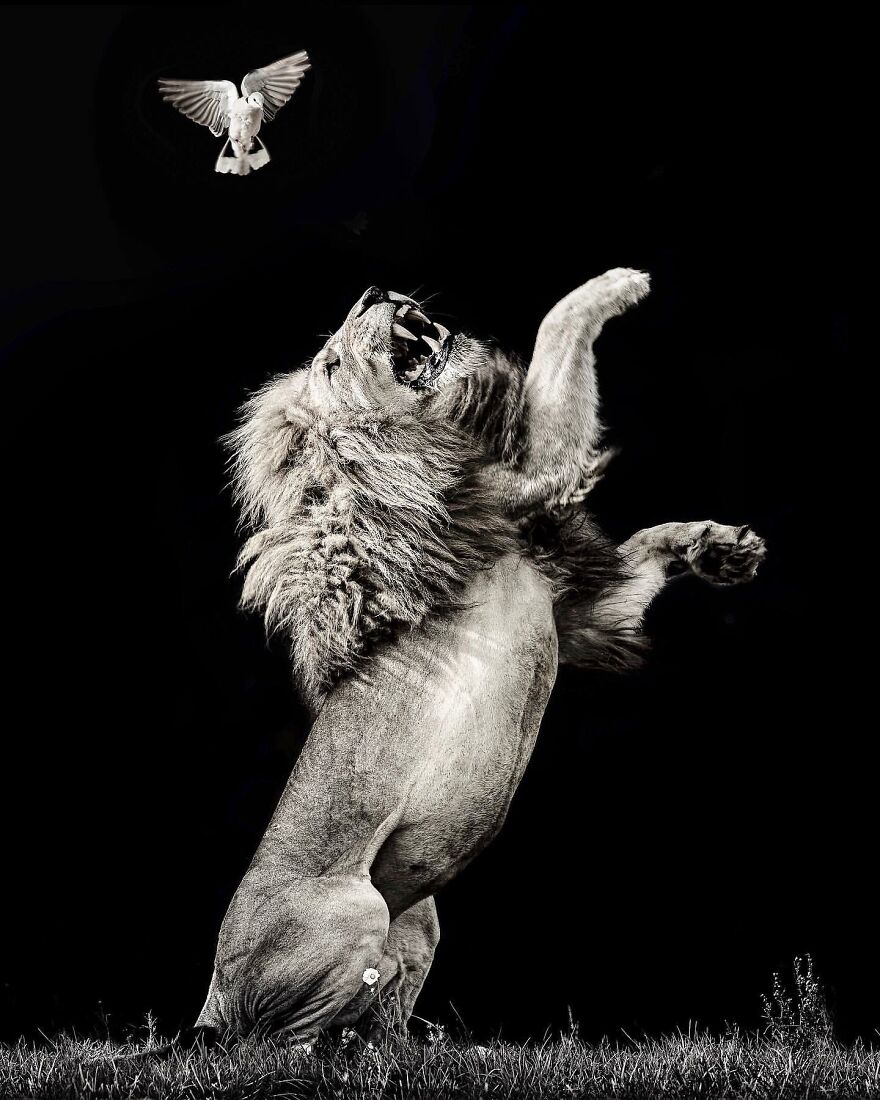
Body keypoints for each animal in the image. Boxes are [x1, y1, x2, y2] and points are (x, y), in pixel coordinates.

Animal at [194, 269, 765, 1042]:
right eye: (332, 366)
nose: (373, 292)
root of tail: (215, 991)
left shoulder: (585, 607)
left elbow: (650, 544)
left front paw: (722, 549)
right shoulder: (525, 475)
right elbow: (556, 330)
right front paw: (618, 284)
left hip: (419, 919)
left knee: (372, 1008)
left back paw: (404, 1048)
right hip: (354, 912)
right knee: (269, 1044)